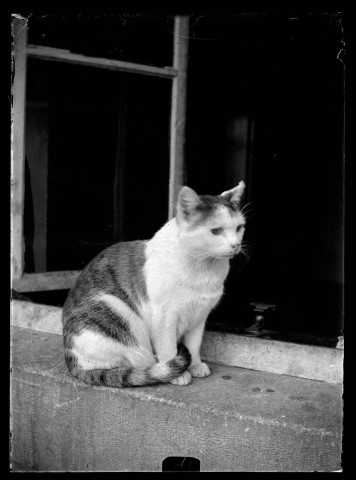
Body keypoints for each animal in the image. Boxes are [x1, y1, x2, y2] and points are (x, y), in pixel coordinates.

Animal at [62, 180, 245, 386]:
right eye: (216, 231)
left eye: (239, 228)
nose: (236, 245)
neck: (203, 269)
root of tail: (72, 360)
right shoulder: (164, 318)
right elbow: (168, 348)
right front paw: (177, 372)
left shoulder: (199, 316)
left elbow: (194, 344)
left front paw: (196, 365)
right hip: (116, 310)